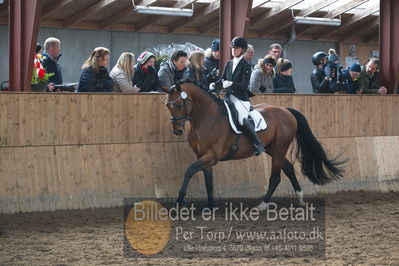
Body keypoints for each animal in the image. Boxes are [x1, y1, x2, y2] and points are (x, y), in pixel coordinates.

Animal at [164, 81, 346, 210]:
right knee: (288, 168)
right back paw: (300, 199)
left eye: (178, 105)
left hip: (279, 149)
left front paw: (179, 201)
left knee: (275, 177)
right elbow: (208, 181)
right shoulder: (202, 156)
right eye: (167, 105)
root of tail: (286, 110)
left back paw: (262, 205)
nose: (177, 131)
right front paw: (209, 207)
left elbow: (189, 171)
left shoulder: (212, 156)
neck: (206, 119)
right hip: (272, 149)